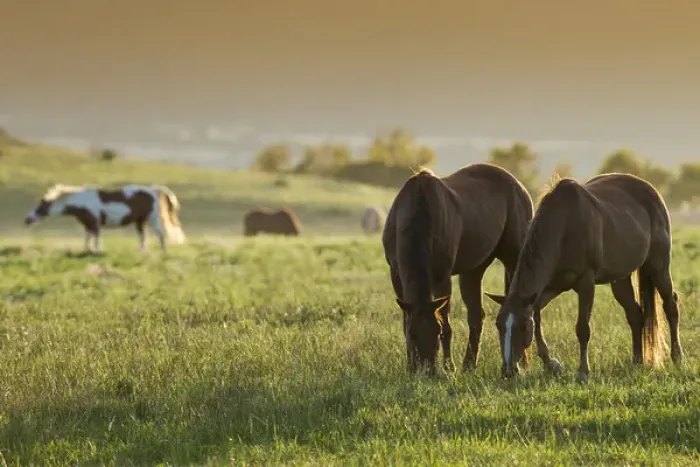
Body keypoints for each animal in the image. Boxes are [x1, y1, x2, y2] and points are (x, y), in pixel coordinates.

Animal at [24, 183, 186, 253]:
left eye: (41, 206)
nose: (27, 219)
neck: (81, 201)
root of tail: (154, 190)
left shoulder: (94, 222)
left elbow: (95, 238)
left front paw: (97, 251)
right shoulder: (88, 224)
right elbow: (88, 238)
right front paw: (87, 250)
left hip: (153, 218)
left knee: (160, 234)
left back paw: (163, 252)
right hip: (140, 221)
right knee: (143, 236)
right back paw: (142, 252)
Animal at [382, 163, 534, 375]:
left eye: (436, 331)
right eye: (413, 334)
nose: (426, 370)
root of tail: (519, 186)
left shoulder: (442, 276)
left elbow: (447, 322)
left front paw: (448, 367)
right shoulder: (396, 275)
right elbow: (405, 320)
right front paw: (409, 366)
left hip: (513, 259)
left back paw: (522, 362)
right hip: (473, 270)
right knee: (476, 316)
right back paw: (469, 365)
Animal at [485, 174, 684, 383]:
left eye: (523, 327)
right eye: (498, 325)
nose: (508, 371)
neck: (564, 226)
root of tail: (652, 191)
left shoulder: (586, 282)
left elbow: (582, 329)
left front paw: (582, 372)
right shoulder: (551, 287)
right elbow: (537, 317)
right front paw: (552, 364)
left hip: (658, 266)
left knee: (671, 305)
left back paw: (677, 358)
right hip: (620, 279)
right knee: (635, 314)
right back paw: (637, 362)